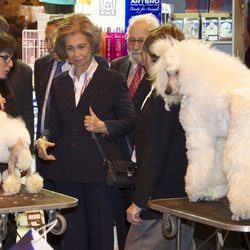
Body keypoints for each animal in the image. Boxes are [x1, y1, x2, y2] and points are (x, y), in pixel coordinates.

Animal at [149, 37, 250, 221]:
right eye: (167, 73)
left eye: (177, 72)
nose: (167, 91)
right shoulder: (218, 139)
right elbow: (214, 168)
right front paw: (212, 192)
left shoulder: (199, 134)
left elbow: (200, 164)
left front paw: (196, 192)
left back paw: (242, 209)